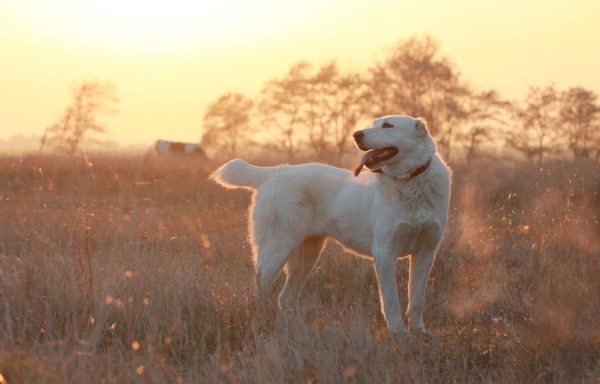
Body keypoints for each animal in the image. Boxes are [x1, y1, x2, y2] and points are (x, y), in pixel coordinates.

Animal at [211, 115, 450, 332]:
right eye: (373, 124)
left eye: (388, 125)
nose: (356, 134)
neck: (409, 181)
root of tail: (276, 171)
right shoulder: (385, 253)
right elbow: (391, 302)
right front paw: (399, 334)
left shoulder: (426, 252)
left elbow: (416, 301)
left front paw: (419, 333)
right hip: (275, 251)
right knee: (255, 295)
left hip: (307, 256)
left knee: (286, 298)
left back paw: (298, 331)